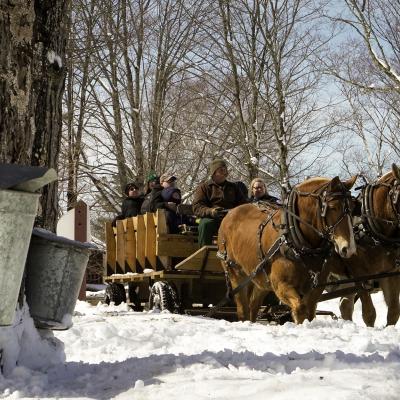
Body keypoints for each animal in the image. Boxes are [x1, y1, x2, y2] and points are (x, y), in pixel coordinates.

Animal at [217, 175, 358, 322]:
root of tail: (229, 214)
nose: (348, 248)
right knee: (242, 308)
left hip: (259, 276)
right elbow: (300, 309)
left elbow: (310, 311)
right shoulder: (281, 284)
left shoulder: (316, 288)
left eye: (353, 207)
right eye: (332, 207)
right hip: (234, 271)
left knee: (253, 305)